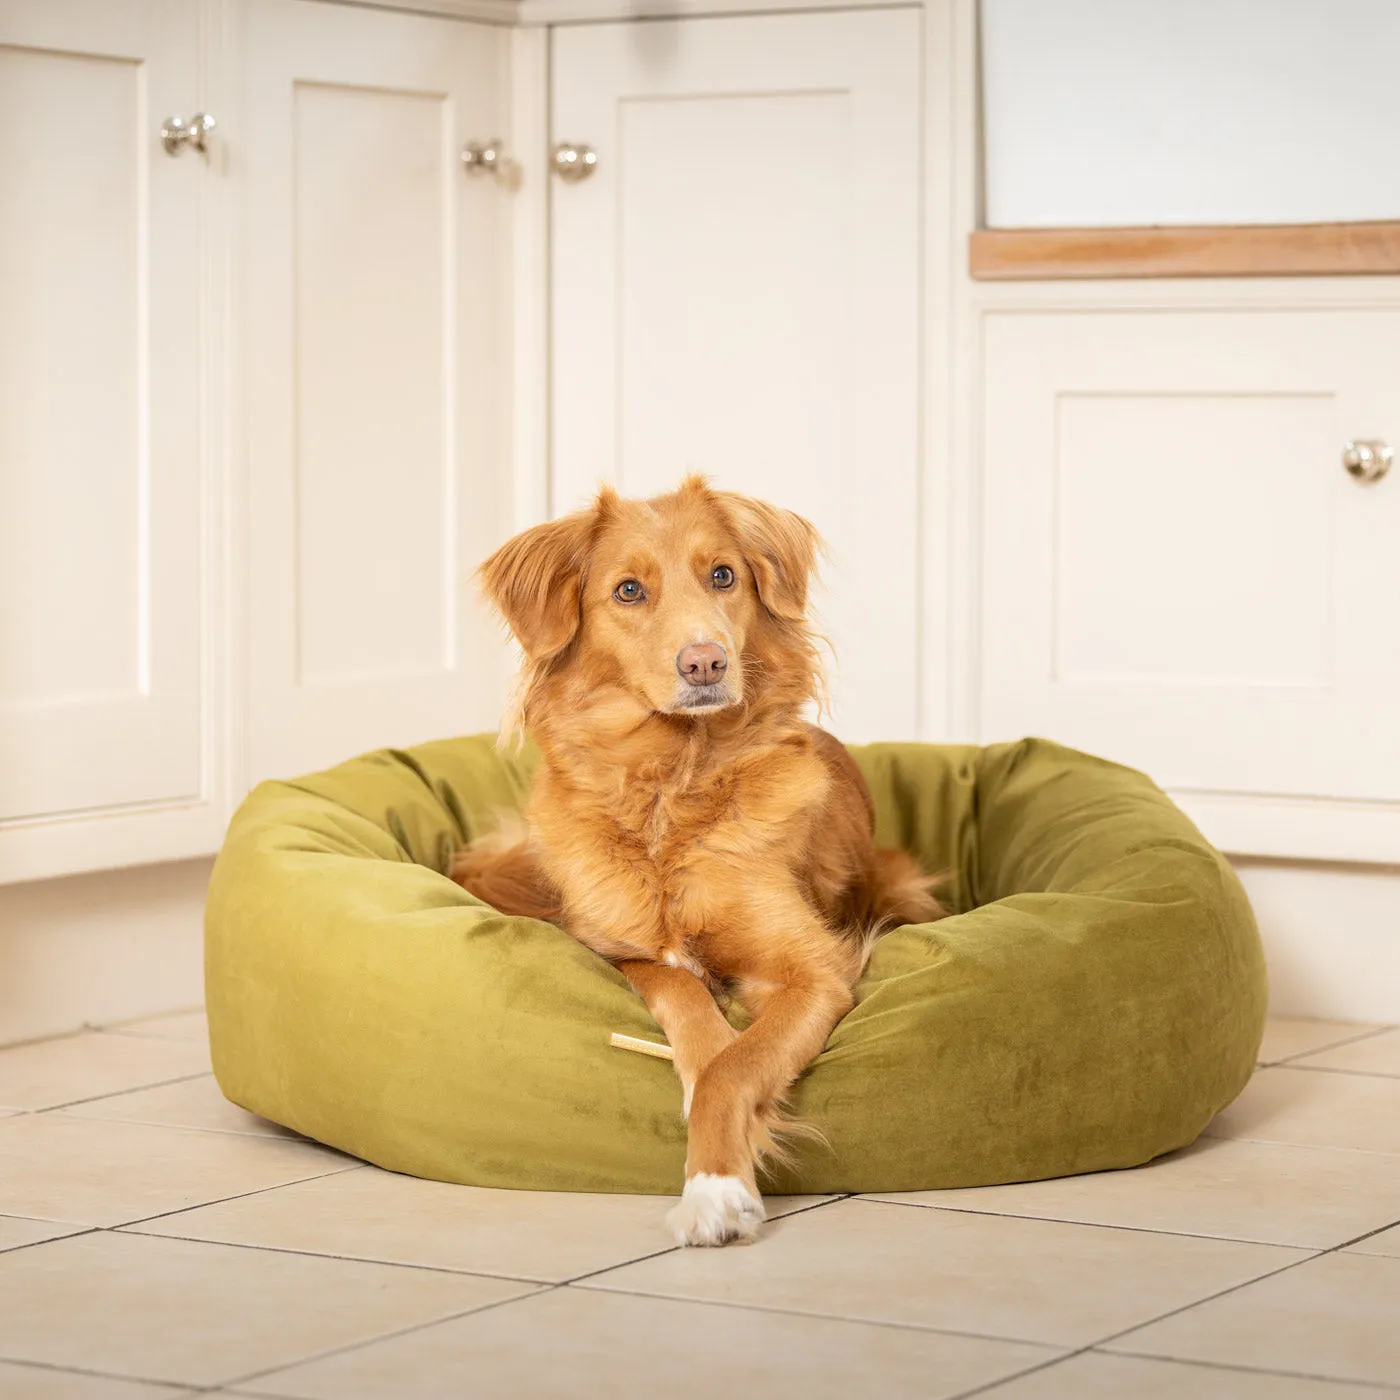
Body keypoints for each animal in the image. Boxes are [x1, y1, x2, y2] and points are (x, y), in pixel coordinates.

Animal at [453, 476, 946, 1243]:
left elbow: (734, 1068)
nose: (706, 661)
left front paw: (715, 1186)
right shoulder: (621, 951)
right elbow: (684, 995)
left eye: (723, 576)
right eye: (628, 591)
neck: (670, 788)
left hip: (903, 885)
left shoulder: (814, 973)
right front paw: (706, 1061)